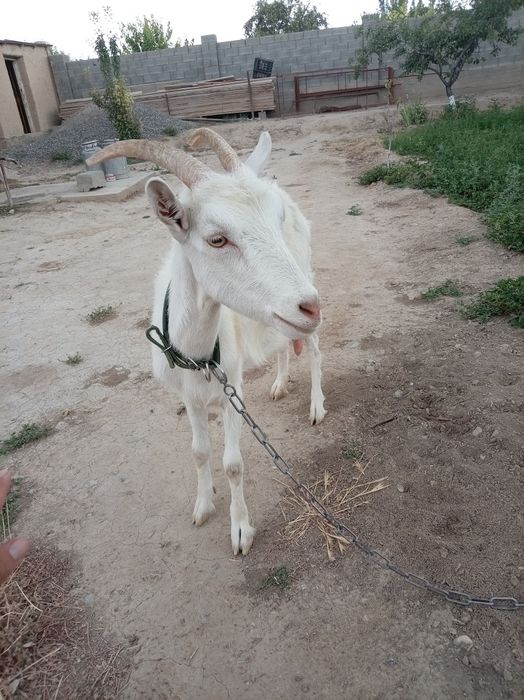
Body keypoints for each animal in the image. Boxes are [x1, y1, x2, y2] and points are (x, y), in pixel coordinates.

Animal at [87, 129, 325, 555]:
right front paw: (202, 505)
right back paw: (280, 382)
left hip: (304, 281)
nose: (310, 307)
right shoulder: (189, 395)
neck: (198, 355)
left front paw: (241, 529)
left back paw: (316, 405)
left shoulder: (233, 390)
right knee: (282, 343)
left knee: (312, 349)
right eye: (217, 239)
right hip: (278, 316)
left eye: (277, 221)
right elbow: (198, 452)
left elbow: (233, 463)